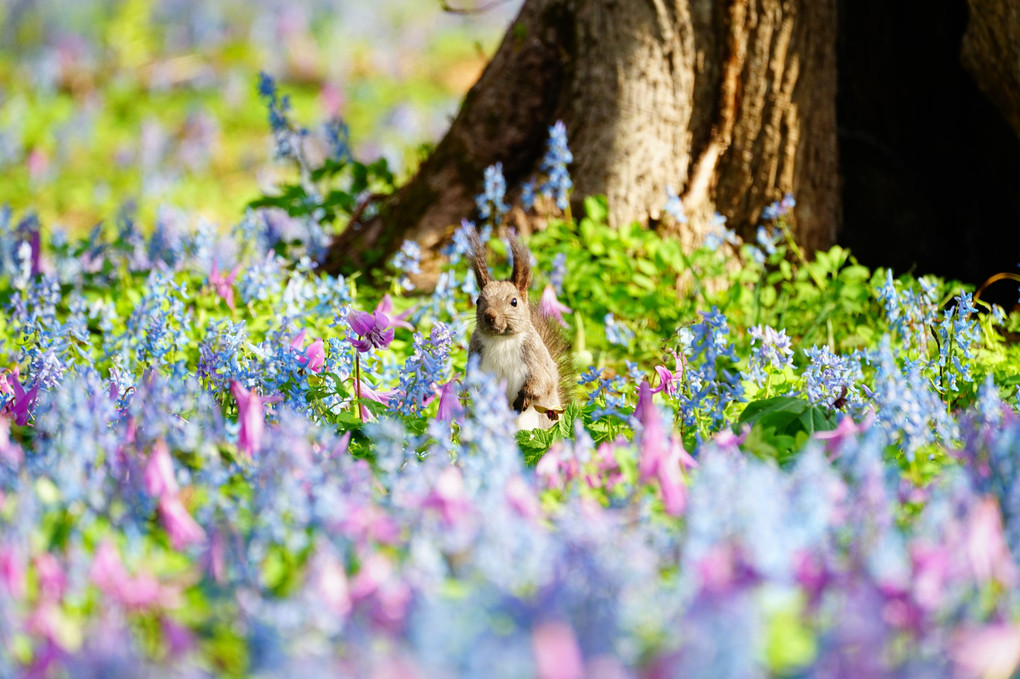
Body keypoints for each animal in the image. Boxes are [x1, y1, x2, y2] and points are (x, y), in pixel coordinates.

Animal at [467, 227, 571, 428]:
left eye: (514, 302)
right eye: (477, 301)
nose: (490, 316)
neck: (501, 340)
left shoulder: (535, 354)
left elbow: (543, 381)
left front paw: (523, 399)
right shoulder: (474, 353)